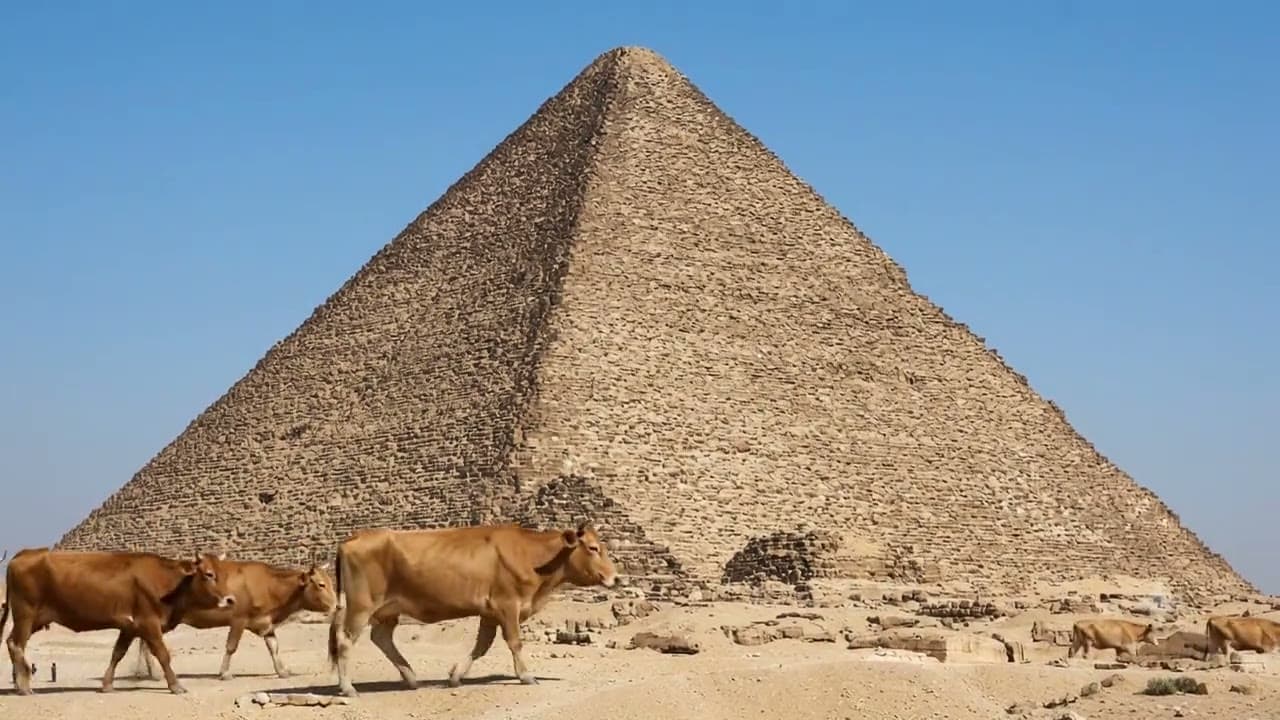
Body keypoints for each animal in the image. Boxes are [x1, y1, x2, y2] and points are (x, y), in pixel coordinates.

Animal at [1, 547, 235, 695]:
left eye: (225, 574)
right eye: (208, 574)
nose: (230, 599)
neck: (168, 583)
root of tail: (25, 552)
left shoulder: (130, 627)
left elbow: (117, 654)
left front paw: (106, 684)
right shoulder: (149, 623)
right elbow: (163, 655)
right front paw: (176, 686)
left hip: (35, 619)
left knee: (11, 642)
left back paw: (19, 685)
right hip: (25, 615)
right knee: (16, 644)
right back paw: (24, 686)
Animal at [132, 559, 337, 681]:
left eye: (331, 582)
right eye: (321, 584)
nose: (337, 605)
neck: (269, 585)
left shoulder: (265, 623)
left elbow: (274, 647)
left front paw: (282, 671)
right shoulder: (239, 619)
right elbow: (231, 646)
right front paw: (224, 673)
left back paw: (149, 672)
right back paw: (154, 673)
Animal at [326, 521, 620, 698]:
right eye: (593, 548)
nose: (616, 578)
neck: (531, 555)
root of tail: (353, 538)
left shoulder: (489, 612)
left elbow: (481, 647)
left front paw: (455, 676)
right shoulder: (507, 605)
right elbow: (515, 642)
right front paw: (526, 675)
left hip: (388, 610)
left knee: (381, 638)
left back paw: (411, 678)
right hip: (361, 606)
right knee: (345, 641)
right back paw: (348, 687)